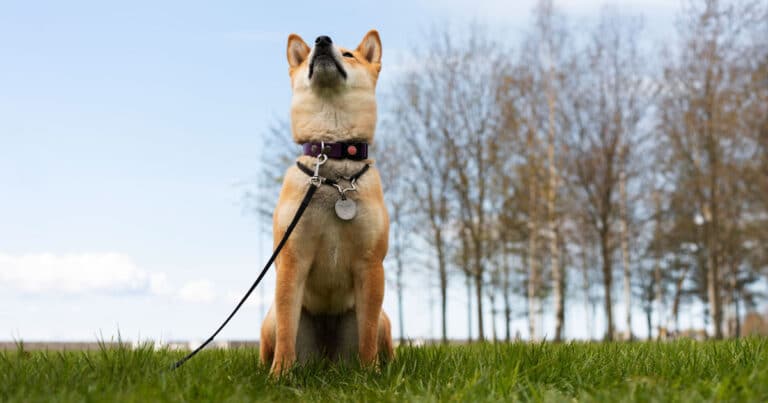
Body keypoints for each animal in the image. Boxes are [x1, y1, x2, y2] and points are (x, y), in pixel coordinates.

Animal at [260, 30, 392, 378]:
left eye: (349, 54)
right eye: (307, 56)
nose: (321, 40)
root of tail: (328, 359)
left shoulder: (370, 265)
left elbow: (367, 332)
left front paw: (371, 372)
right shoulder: (292, 258)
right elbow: (287, 329)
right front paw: (280, 374)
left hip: (385, 320)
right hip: (269, 321)